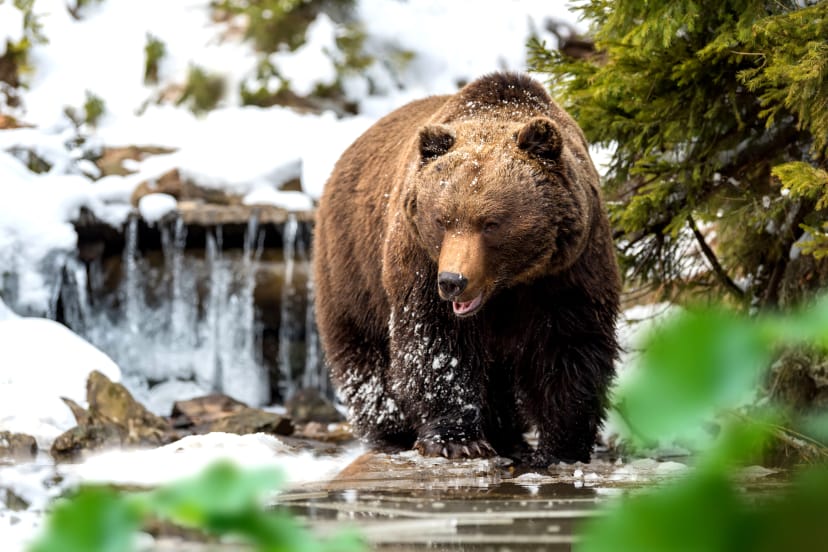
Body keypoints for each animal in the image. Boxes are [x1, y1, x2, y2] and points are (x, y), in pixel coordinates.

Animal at [313, 72, 620, 466]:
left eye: (491, 223)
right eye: (442, 220)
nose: (453, 281)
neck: (508, 285)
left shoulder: (568, 268)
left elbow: (569, 344)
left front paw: (560, 447)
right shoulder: (420, 262)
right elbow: (437, 344)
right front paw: (456, 440)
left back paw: (507, 435)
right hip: (352, 264)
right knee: (364, 352)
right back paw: (391, 431)